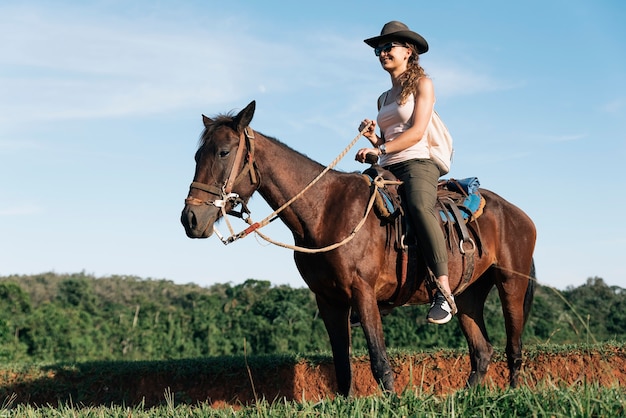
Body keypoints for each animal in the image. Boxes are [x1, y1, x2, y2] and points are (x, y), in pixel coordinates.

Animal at [180, 100, 536, 396]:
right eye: (197, 156)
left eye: (224, 152)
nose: (191, 218)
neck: (324, 210)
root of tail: (518, 214)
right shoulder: (328, 300)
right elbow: (342, 365)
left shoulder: (362, 292)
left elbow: (379, 361)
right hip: (467, 295)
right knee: (482, 352)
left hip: (511, 285)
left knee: (513, 347)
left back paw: (513, 394)